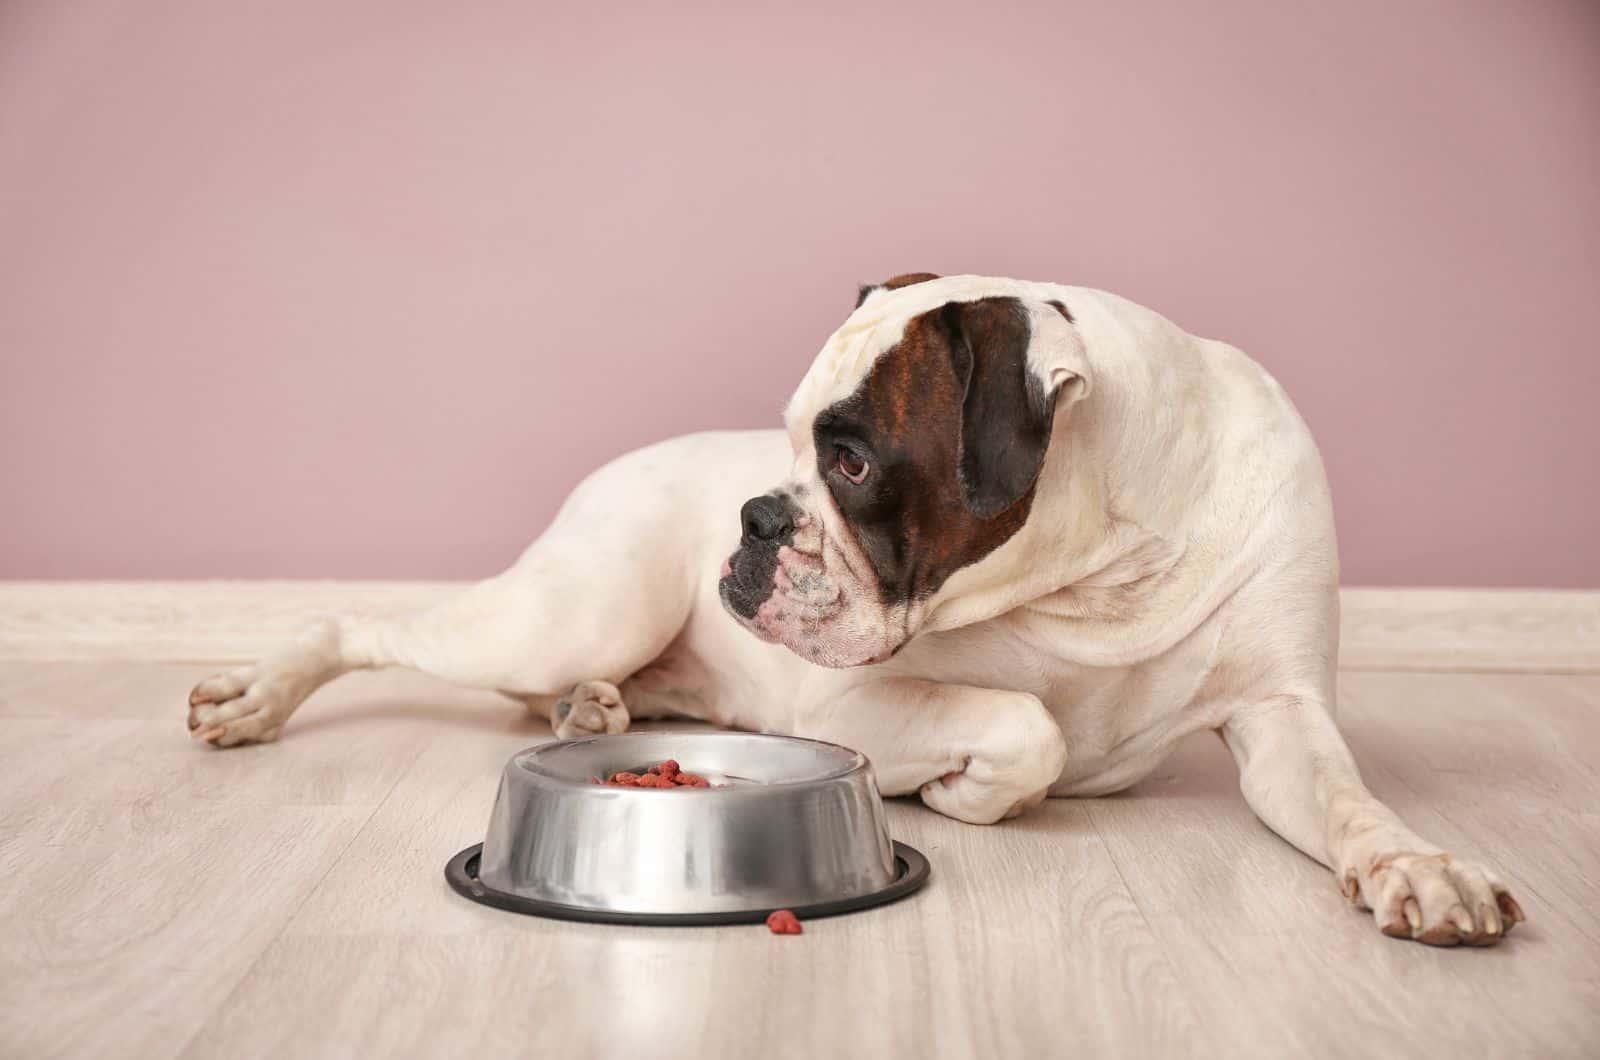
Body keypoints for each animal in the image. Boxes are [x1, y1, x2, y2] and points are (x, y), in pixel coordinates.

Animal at [187, 272, 1523, 947]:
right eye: (789, 443)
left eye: (852, 460)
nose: (750, 517)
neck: (1103, 571)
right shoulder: (853, 703)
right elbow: (1029, 724)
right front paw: (972, 793)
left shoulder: (1285, 720)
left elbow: (1350, 803)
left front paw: (1421, 869)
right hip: (573, 605)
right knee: (363, 628)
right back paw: (257, 692)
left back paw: (593, 709)